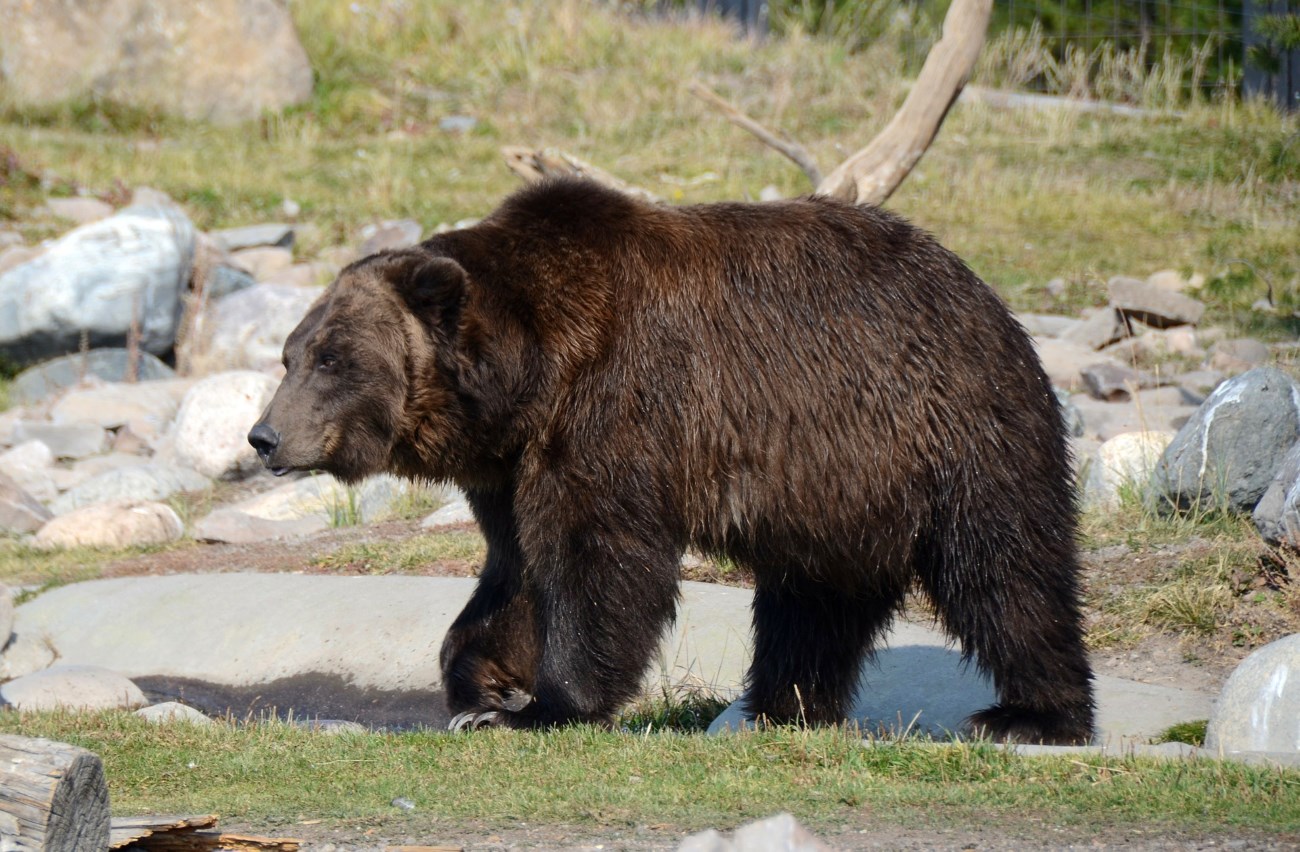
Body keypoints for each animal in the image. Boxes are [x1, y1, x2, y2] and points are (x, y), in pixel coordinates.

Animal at [248, 178, 1092, 738]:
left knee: (1005, 568)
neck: (529, 371)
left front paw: (547, 704)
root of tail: (984, 293)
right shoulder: (515, 463)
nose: (264, 437)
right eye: (291, 354)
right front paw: (482, 684)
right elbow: (515, 570)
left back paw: (1030, 714)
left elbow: (600, 562)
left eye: (331, 359)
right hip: (837, 488)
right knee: (815, 601)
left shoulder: (617, 405)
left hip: (951, 425)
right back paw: (784, 705)